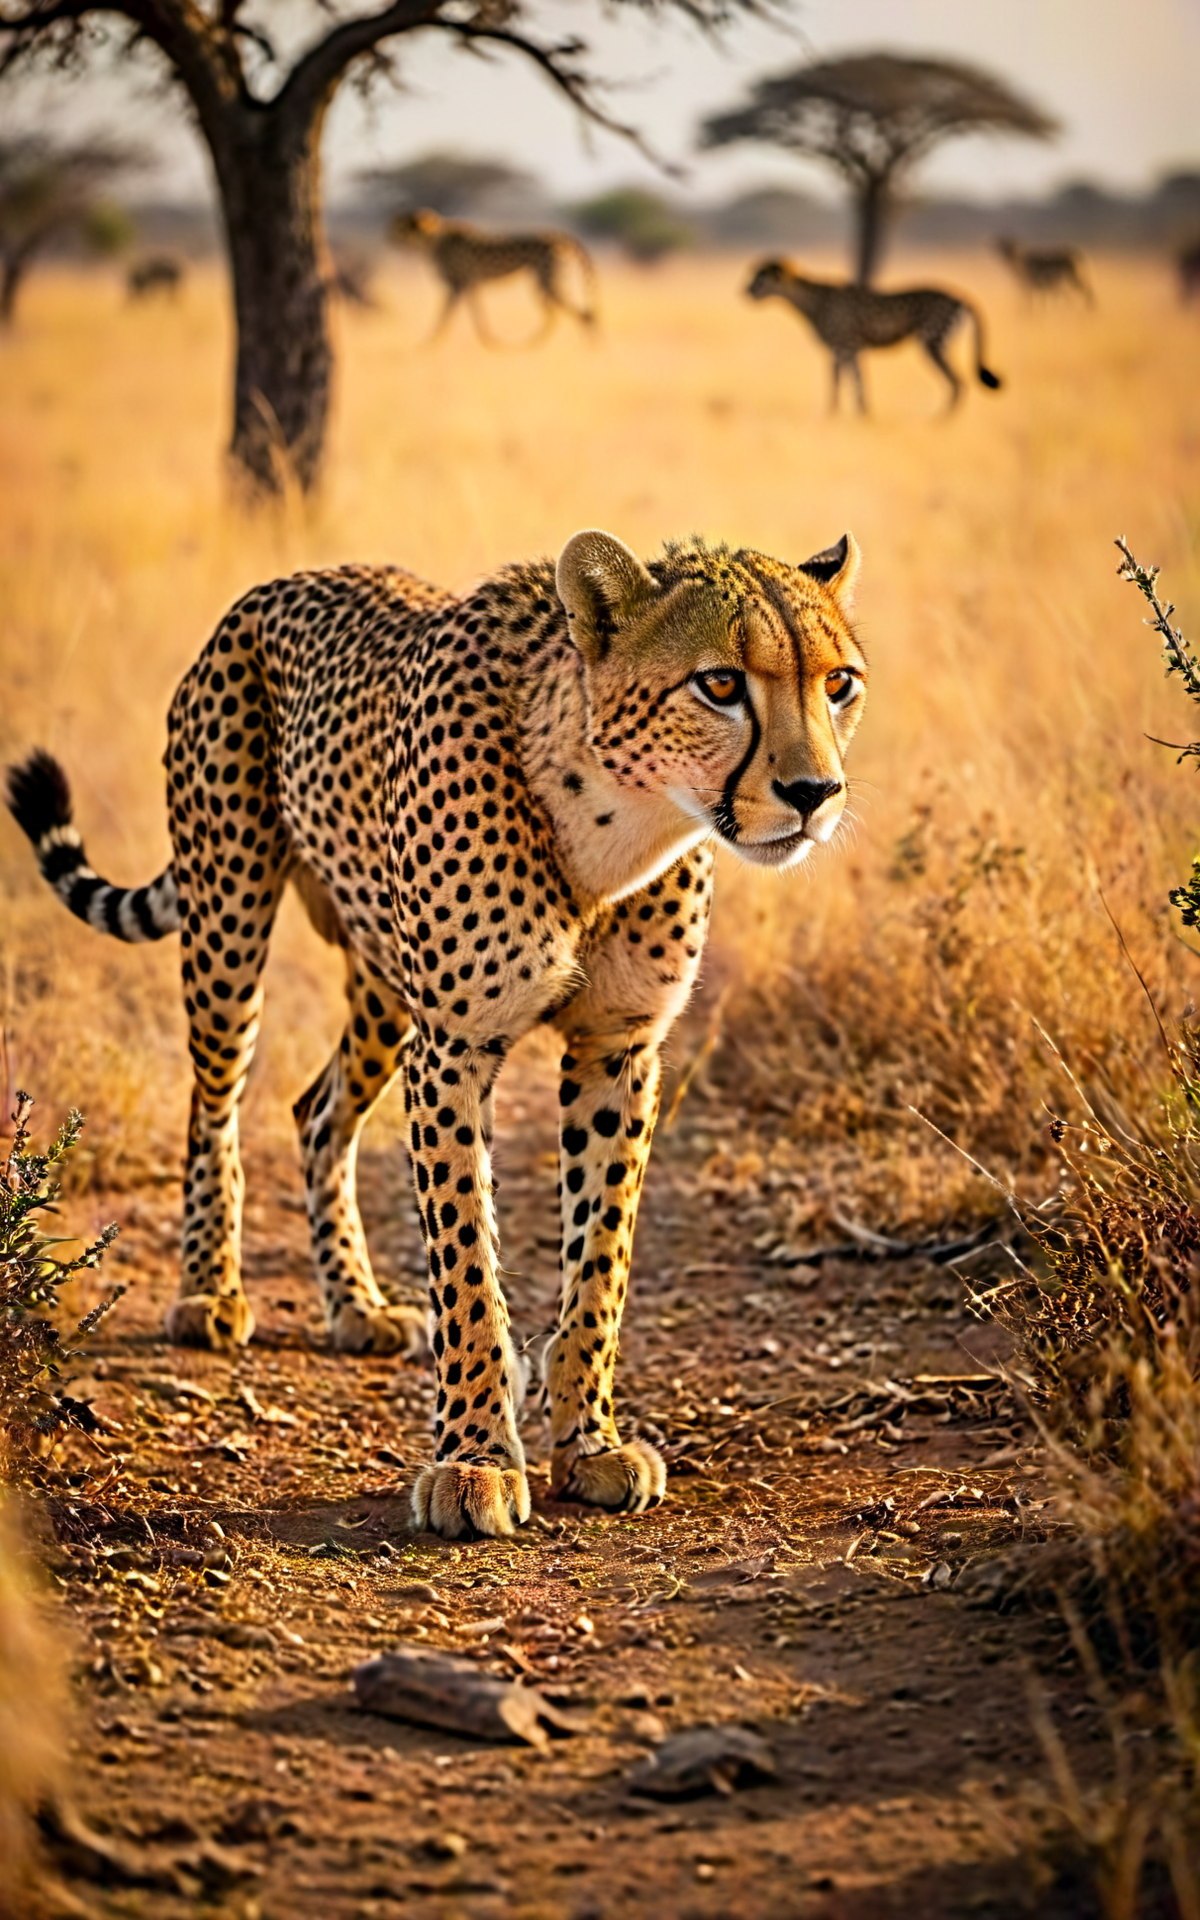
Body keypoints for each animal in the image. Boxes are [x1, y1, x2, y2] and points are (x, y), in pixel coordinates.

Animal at [6, 528, 867, 1539]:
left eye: (839, 683)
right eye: (721, 684)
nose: (814, 792)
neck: (615, 822)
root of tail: (278, 584)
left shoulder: (616, 1052)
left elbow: (600, 1263)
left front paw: (591, 1443)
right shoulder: (454, 1049)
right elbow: (468, 1271)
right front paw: (476, 1460)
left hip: (383, 979)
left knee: (317, 1113)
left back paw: (357, 1305)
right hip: (230, 922)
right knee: (215, 1103)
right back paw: (211, 1290)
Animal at [389, 209, 597, 346]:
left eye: (402, 228)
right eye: (397, 226)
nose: (390, 237)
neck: (431, 240)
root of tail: (556, 236)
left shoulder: (459, 285)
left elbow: (445, 316)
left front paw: (427, 343)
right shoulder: (469, 284)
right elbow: (477, 314)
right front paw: (490, 341)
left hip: (548, 281)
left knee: (584, 314)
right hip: (542, 282)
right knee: (556, 315)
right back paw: (528, 345)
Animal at [746, 259, 1002, 414]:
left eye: (761, 277)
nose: (746, 290)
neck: (813, 300)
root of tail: (963, 298)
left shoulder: (846, 348)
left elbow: (850, 385)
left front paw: (851, 417)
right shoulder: (845, 351)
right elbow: (849, 385)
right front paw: (849, 417)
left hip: (933, 344)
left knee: (958, 383)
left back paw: (936, 423)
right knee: (957, 384)